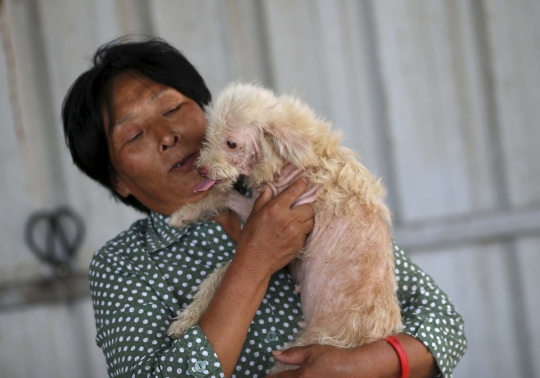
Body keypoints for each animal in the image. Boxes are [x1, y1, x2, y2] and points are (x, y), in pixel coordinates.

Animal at [168, 83, 400, 372]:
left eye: (231, 143)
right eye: (209, 137)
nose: (201, 171)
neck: (286, 158)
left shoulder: (287, 242)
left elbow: (222, 270)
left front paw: (185, 320)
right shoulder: (258, 207)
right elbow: (223, 196)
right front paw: (183, 214)